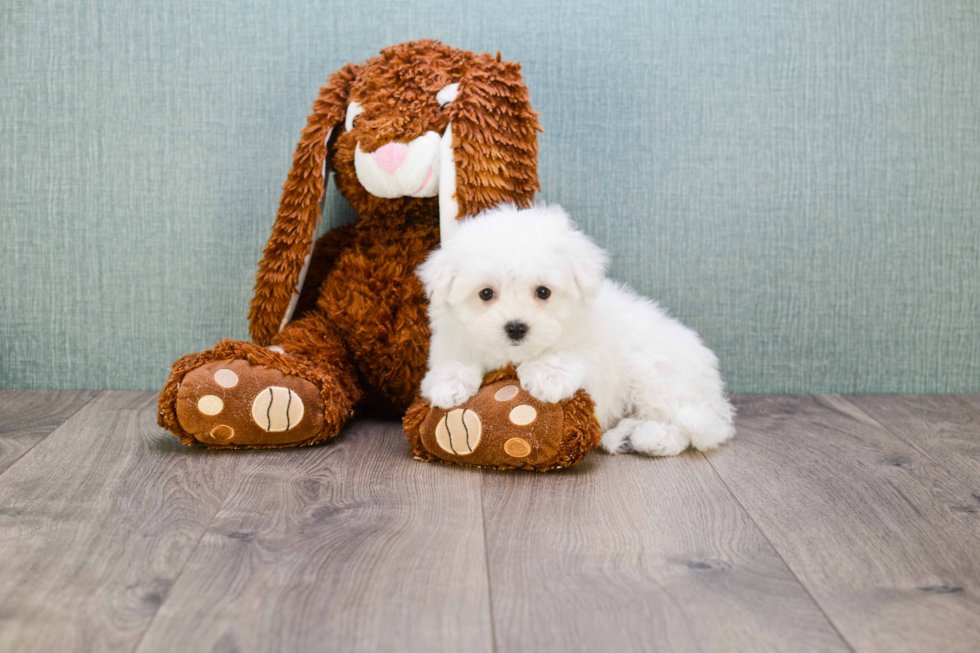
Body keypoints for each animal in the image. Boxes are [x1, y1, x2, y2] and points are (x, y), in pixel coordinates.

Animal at [418, 204, 732, 454]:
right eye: (485, 294)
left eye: (543, 292)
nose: (516, 327)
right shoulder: (453, 339)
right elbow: (454, 359)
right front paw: (450, 383)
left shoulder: (595, 356)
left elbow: (572, 358)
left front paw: (548, 375)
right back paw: (625, 437)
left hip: (658, 377)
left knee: (692, 429)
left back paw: (649, 438)